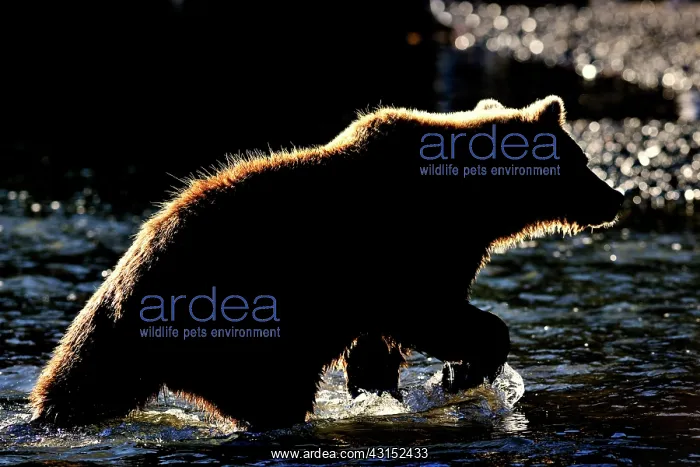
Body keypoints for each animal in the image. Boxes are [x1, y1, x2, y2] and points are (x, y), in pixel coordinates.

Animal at [28, 95, 624, 431]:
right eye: (583, 159)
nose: (615, 197)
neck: (469, 203)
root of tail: (121, 290)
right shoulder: (403, 249)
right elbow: (431, 312)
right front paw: (464, 371)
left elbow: (380, 345)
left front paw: (386, 390)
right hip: (235, 318)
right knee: (273, 390)